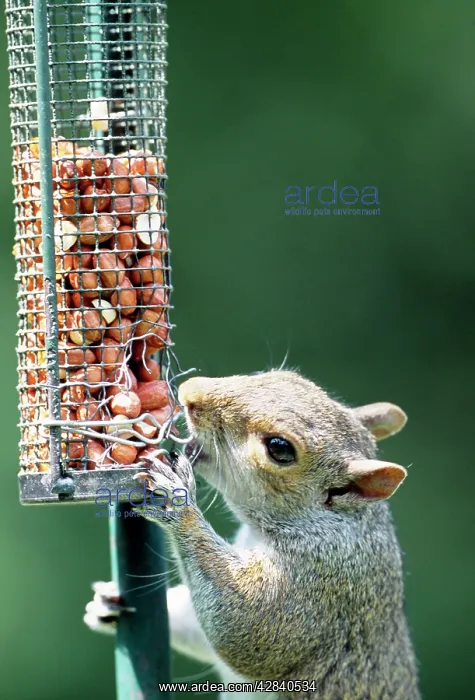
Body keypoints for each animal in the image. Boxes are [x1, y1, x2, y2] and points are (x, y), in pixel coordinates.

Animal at [85, 370, 420, 700]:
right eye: (283, 374)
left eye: (280, 448)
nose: (189, 392)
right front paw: (106, 604)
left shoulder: (320, 581)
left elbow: (245, 628)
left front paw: (177, 500)